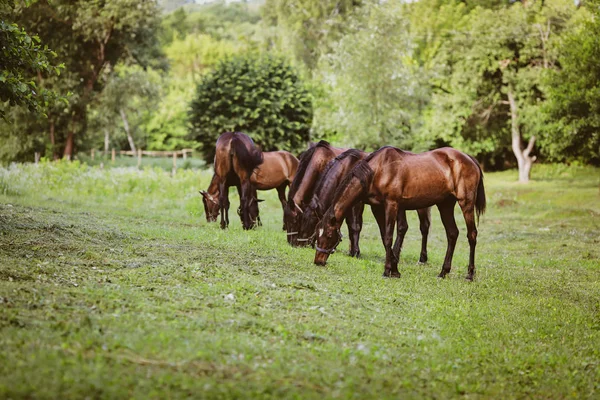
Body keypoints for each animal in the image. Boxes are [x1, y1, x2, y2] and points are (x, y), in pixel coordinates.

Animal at [298, 148, 432, 260]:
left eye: (310, 222)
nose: (298, 243)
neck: (347, 166)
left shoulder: (358, 203)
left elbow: (355, 226)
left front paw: (355, 251)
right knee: (404, 227)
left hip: (420, 207)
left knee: (423, 227)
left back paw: (422, 258)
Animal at [312, 147, 486, 282]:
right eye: (316, 233)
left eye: (328, 235)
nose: (318, 261)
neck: (378, 170)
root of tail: (469, 158)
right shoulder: (378, 208)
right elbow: (385, 238)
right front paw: (394, 270)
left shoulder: (392, 205)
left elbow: (389, 237)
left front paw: (387, 271)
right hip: (445, 205)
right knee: (452, 234)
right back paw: (443, 272)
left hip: (465, 203)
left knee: (472, 235)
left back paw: (470, 275)